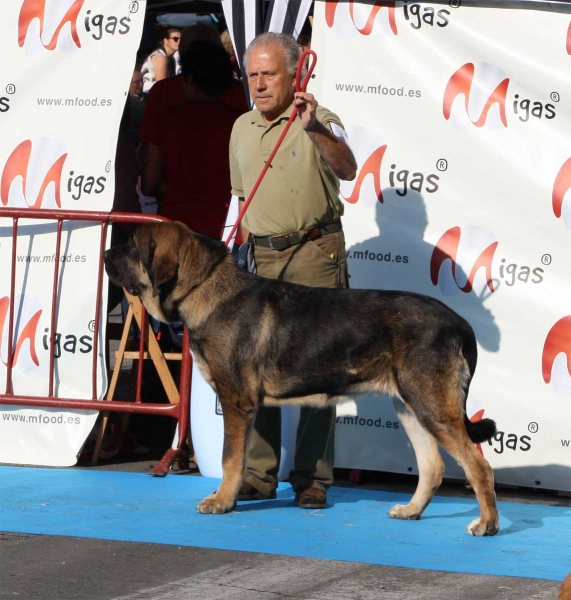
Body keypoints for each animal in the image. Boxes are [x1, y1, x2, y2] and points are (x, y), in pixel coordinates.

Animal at [104, 223, 500, 536]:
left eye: (132, 245)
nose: (106, 253)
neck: (204, 286)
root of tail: (460, 323)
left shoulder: (235, 402)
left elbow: (230, 459)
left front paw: (221, 501)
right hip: (411, 406)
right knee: (432, 467)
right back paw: (412, 511)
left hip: (433, 407)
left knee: (478, 466)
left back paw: (487, 524)